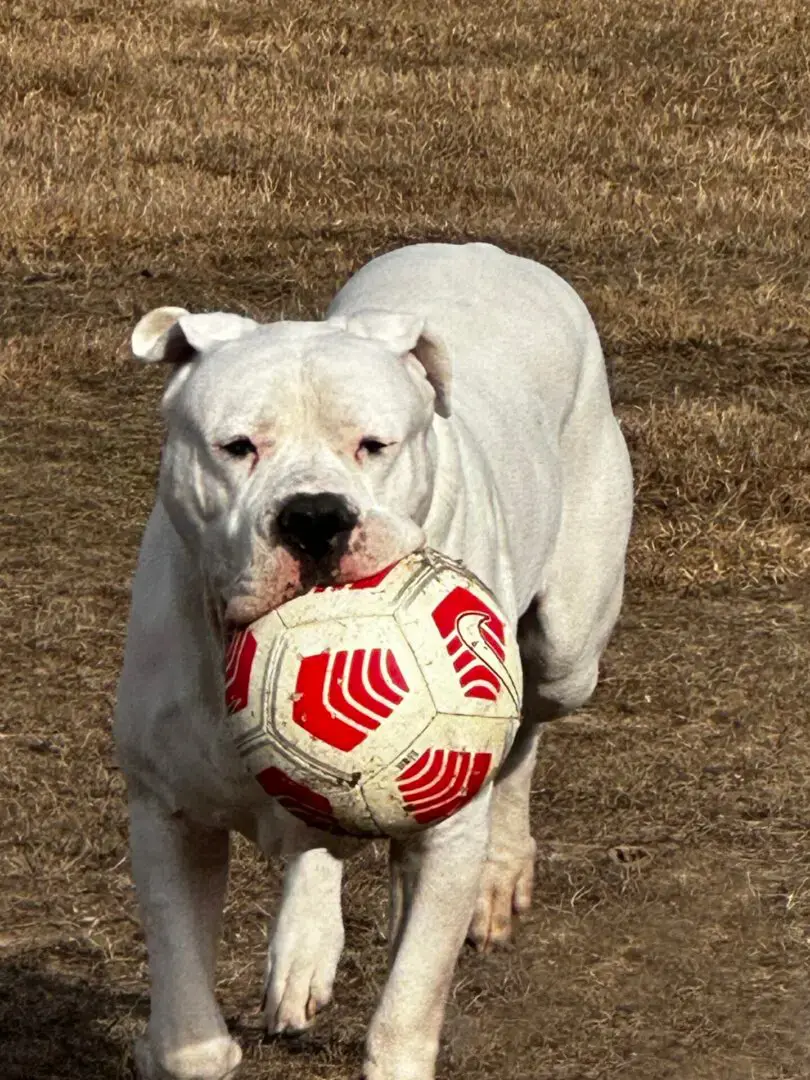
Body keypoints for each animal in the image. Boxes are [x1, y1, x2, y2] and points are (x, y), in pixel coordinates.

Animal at [115, 245, 635, 1080]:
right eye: (237, 446)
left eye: (374, 445)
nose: (314, 515)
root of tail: (483, 250)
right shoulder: (167, 816)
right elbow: (190, 1037)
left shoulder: (446, 835)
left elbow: (406, 1011)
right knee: (320, 835)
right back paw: (305, 948)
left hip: (568, 650)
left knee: (528, 729)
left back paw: (500, 872)